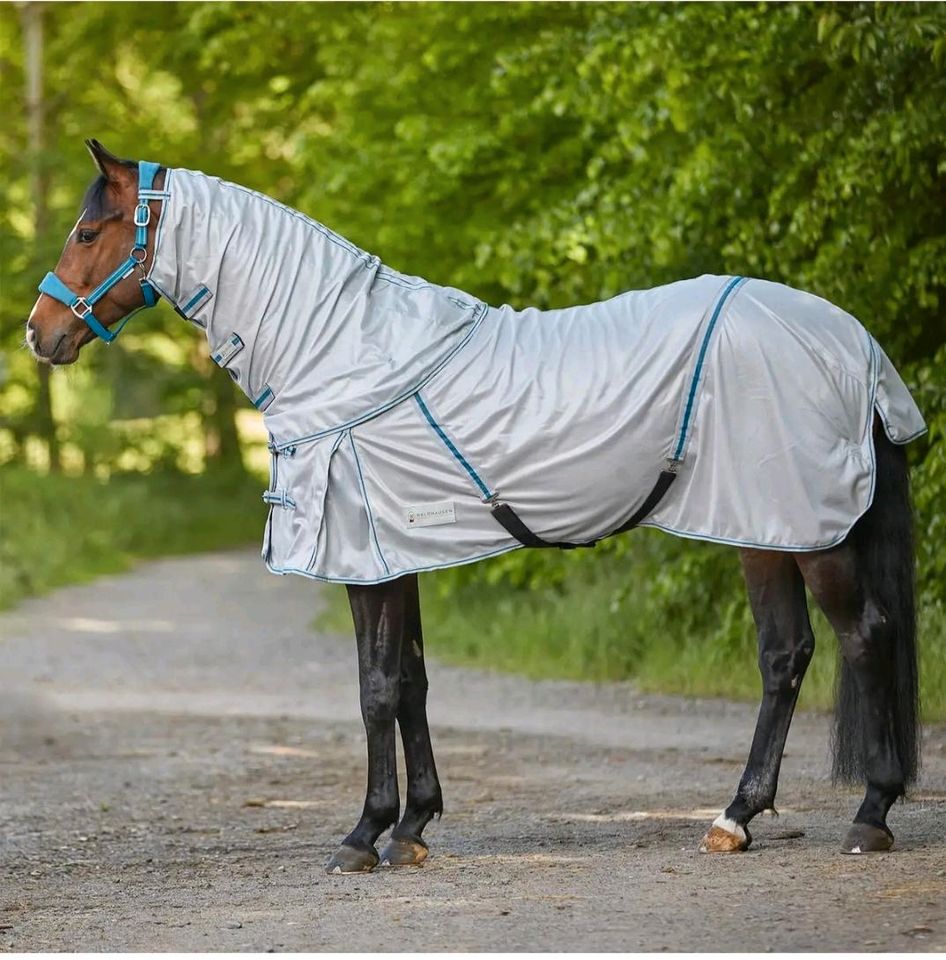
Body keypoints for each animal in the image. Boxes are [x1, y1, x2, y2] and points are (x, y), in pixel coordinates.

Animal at [27, 139, 920, 872]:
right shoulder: (397, 553)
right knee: (785, 656)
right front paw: (414, 828)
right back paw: (736, 819)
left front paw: (365, 835)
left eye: (86, 233)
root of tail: (852, 340)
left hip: (810, 529)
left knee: (866, 636)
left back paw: (870, 815)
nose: (39, 334)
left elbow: (376, 689)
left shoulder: (370, 560)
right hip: (762, 526)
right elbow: (413, 682)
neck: (342, 352)